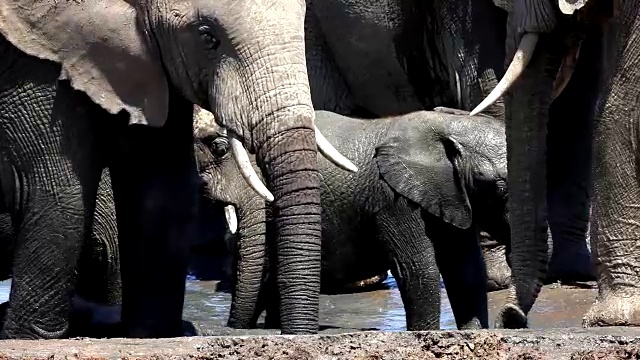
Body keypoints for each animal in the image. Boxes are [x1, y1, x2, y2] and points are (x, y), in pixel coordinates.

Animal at [0, 0, 356, 338]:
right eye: (207, 37)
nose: (293, 334)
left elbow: (162, 189)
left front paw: (151, 334)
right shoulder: (35, 63)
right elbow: (59, 194)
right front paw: (27, 338)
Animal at [195, 107, 510, 332]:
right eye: (500, 189)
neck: (448, 125)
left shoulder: (452, 196)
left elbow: (466, 270)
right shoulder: (393, 200)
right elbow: (418, 270)